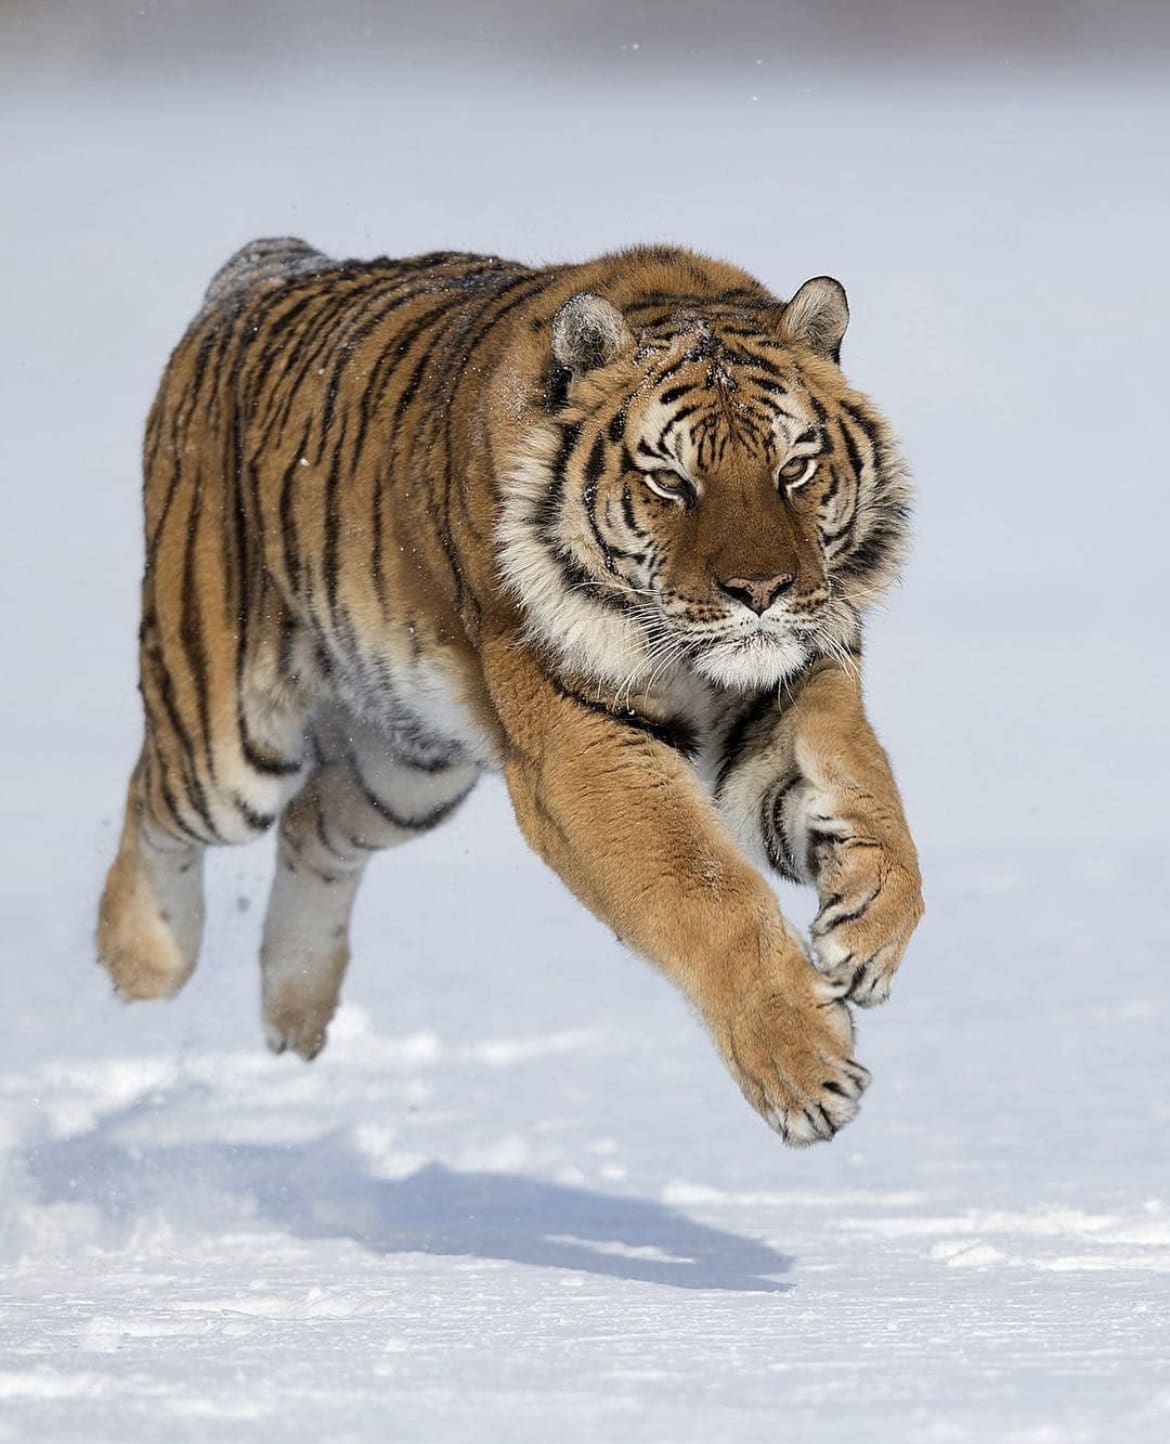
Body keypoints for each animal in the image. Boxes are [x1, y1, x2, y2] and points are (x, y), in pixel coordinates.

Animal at [98, 239, 918, 1149]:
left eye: (794, 468)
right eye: (672, 482)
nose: (761, 592)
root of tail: (263, 265)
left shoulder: (780, 703)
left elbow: (870, 786)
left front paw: (866, 932)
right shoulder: (578, 749)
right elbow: (704, 890)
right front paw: (804, 1069)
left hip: (404, 775)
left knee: (314, 827)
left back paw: (295, 1023)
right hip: (228, 736)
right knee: (155, 799)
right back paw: (142, 969)